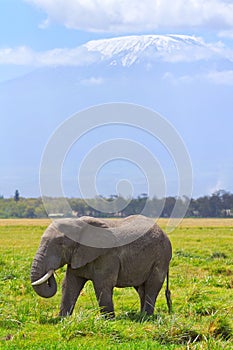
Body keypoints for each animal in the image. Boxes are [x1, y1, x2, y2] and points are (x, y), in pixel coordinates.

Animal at [30, 215, 171, 316]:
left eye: (61, 244)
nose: (51, 272)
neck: (80, 224)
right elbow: (70, 284)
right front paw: (62, 319)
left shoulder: (107, 256)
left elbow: (102, 284)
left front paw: (108, 320)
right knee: (141, 288)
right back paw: (141, 315)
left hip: (161, 258)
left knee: (152, 285)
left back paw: (146, 317)